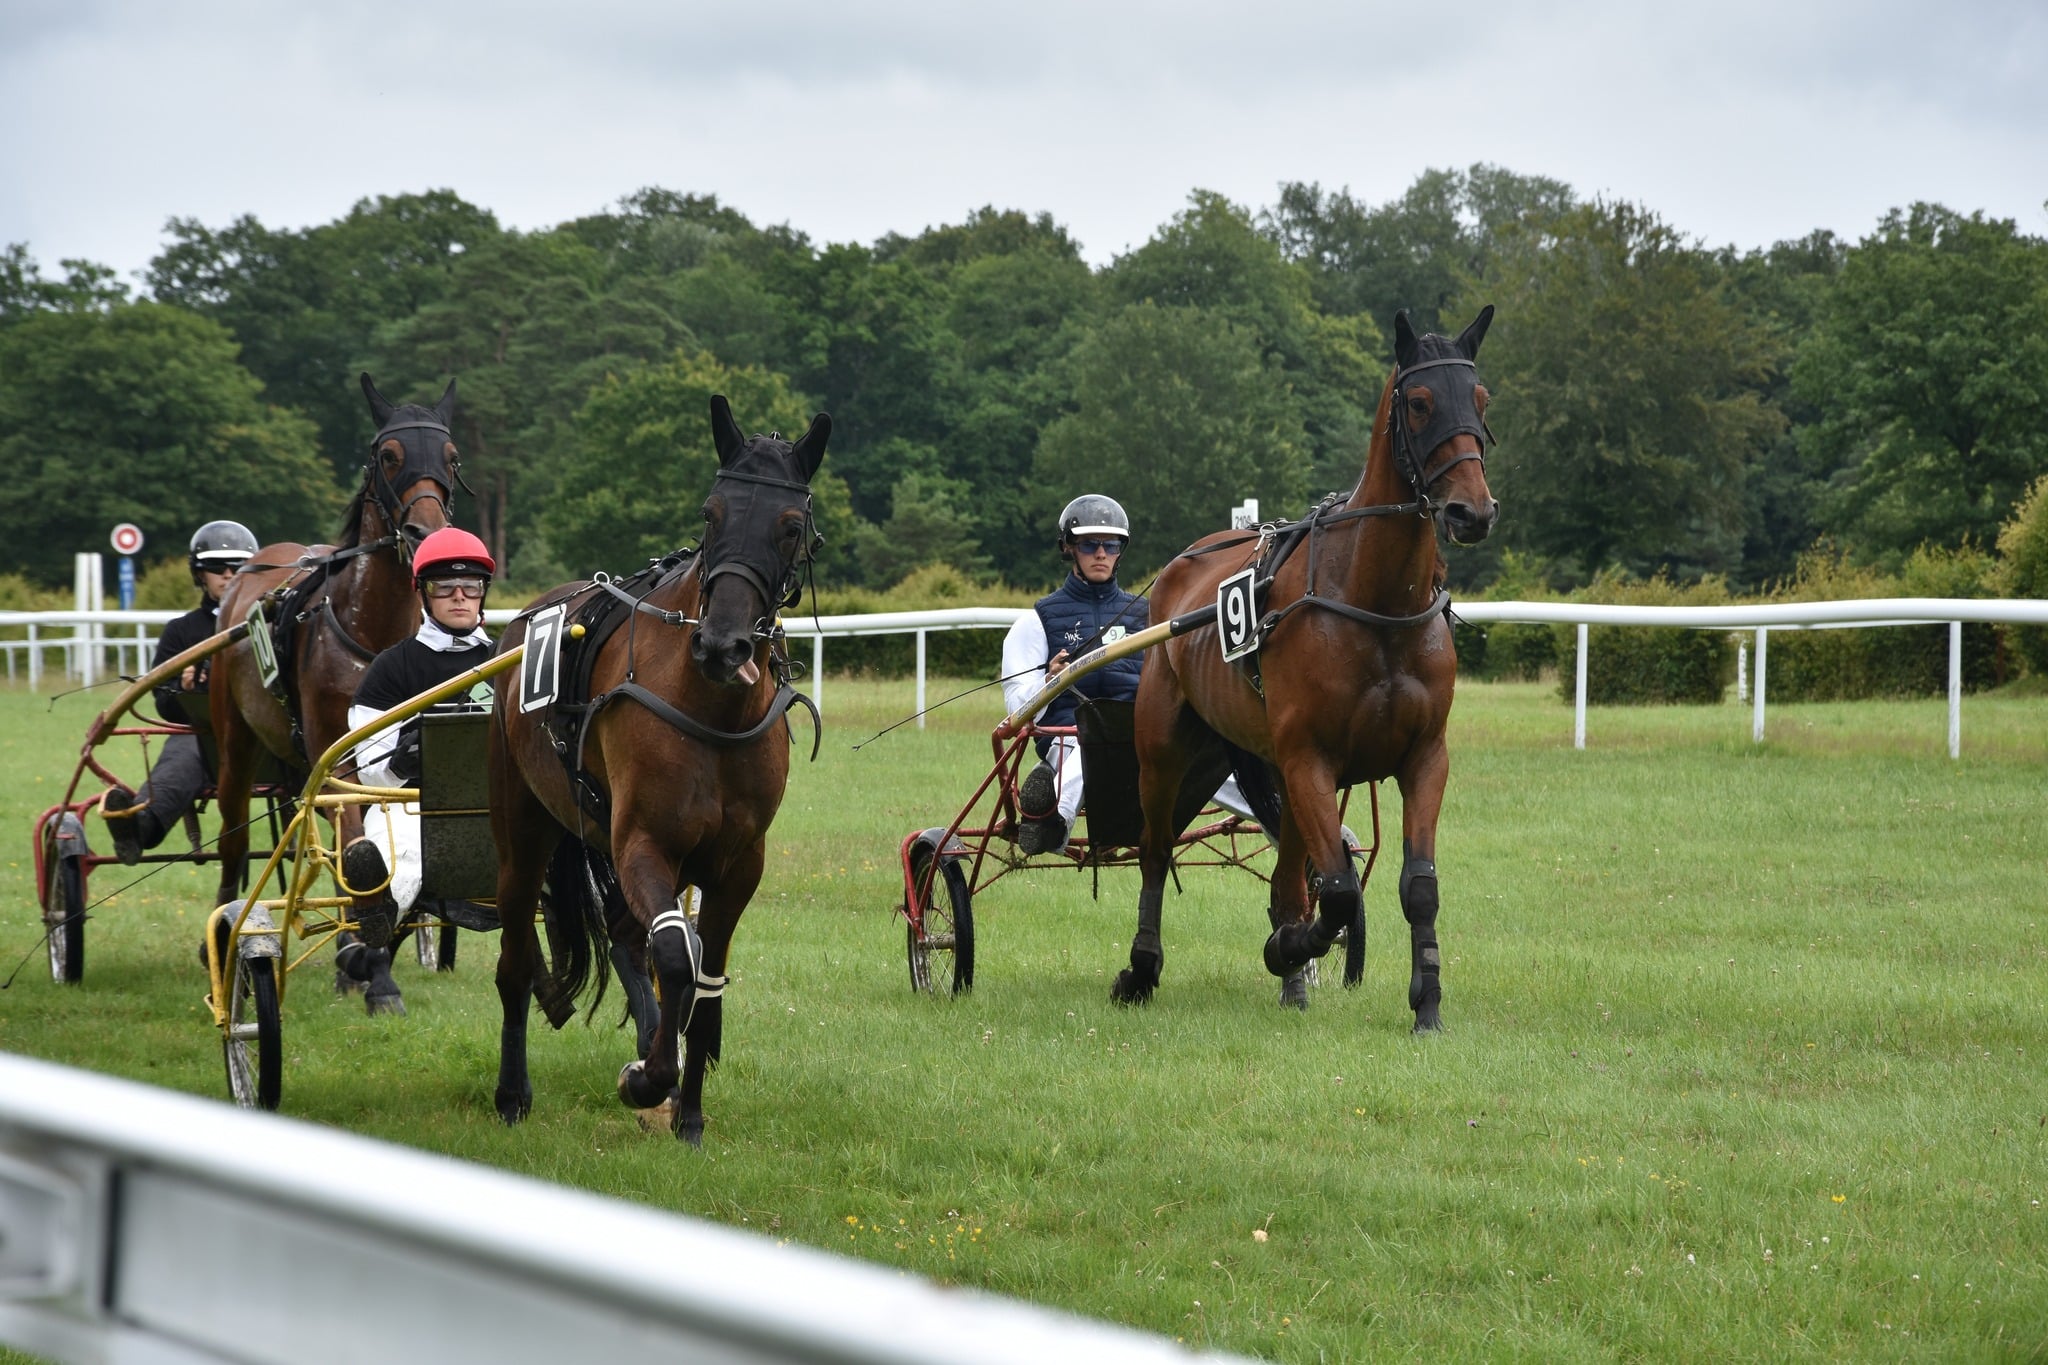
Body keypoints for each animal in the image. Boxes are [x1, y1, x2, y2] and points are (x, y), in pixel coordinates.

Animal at [210, 374, 464, 1010]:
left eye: (451, 456)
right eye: (389, 455)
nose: (427, 533)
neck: (371, 629)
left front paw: (375, 961)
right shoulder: (339, 747)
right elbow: (352, 836)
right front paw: (363, 960)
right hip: (233, 739)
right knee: (232, 836)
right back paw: (223, 935)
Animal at [487, 396, 828, 1144]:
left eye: (790, 527)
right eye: (711, 513)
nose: (723, 646)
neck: (713, 711)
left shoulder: (739, 863)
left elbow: (704, 974)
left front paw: (688, 1110)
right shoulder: (643, 842)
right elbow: (675, 953)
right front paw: (646, 1078)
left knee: (626, 939)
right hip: (523, 825)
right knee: (519, 961)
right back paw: (513, 1091)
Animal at [1111, 306, 1498, 1028]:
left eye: (1481, 398)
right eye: (1420, 401)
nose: (1472, 511)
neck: (1374, 600)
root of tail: (1184, 562)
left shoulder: (1422, 755)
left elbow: (1417, 886)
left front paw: (1426, 1004)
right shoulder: (1310, 758)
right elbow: (1341, 892)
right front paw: (1288, 947)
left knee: (1288, 874)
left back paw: (1291, 977)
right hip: (1164, 744)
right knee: (1153, 850)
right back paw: (1142, 969)